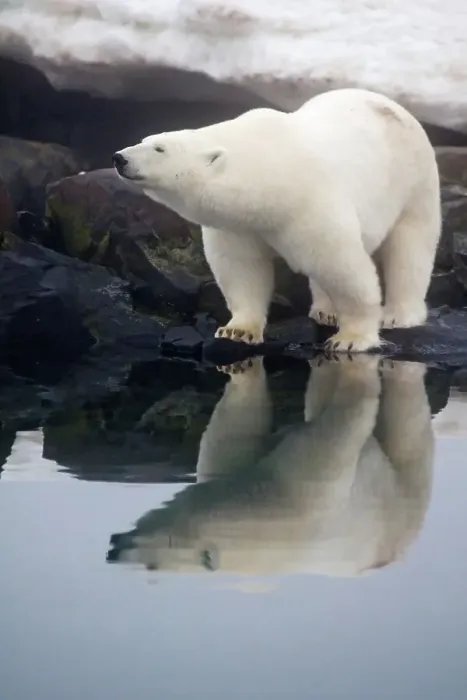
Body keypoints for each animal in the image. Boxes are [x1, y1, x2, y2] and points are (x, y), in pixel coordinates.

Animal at [113, 88, 441, 353]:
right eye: (145, 140)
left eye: (160, 148)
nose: (119, 157)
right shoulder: (237, 226)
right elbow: (242, 269)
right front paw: (237, 331)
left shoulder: (310, 205)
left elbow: (343, 269)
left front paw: (350, 339)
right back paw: (325, 310)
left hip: (415, 182)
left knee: (409, 248)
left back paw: (399, 315)